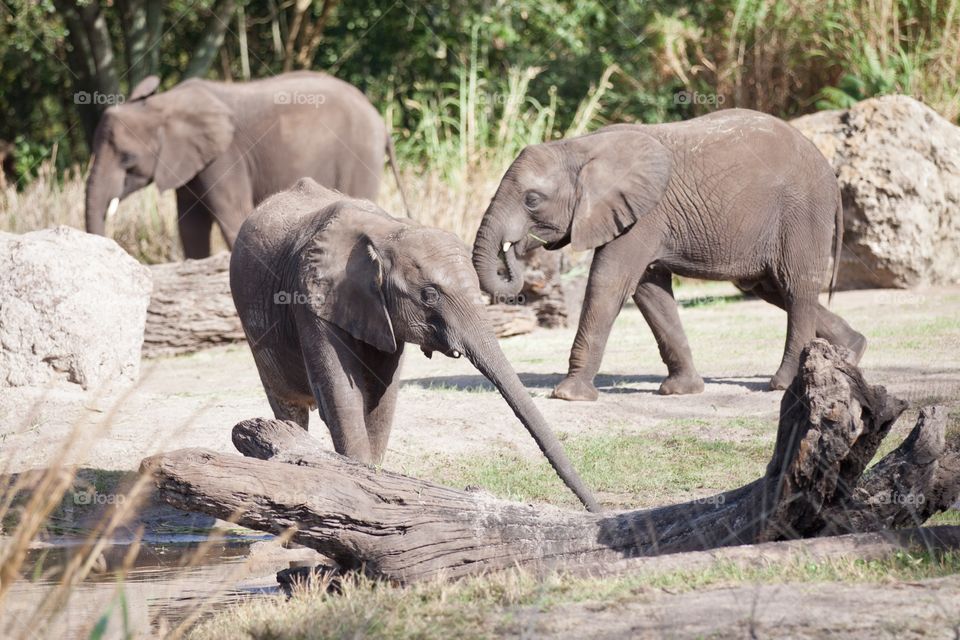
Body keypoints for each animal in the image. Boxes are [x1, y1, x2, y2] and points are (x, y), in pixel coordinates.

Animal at [85, 71, 408, 259]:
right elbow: (190, 225)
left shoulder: (226, 156)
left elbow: (231, 214)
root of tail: (380, 120)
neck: (162, 104)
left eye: (127, 158)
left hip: (360, 154)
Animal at [229, 177, 599, 512]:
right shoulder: (310, 298)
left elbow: (380, 396)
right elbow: (342, 395)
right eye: (430, 295)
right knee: (287, 403)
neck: (387, 233)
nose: (596, 509)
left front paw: (376, 481)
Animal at [472, 109, 867, 401]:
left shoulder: (643, 216)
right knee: (769, 287)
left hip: (802, 211)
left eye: (532, 200)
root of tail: (829, 170)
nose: (515, 248)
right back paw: (852, 352)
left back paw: (784, 383)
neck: (579, 148)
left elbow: (609, 282)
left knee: (795, 286)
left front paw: (568, 395)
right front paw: (681, 390)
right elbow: (649, 291)